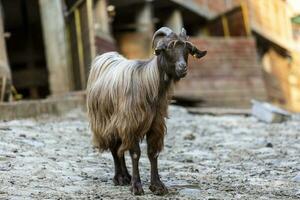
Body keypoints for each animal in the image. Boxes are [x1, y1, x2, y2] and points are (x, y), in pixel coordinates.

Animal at [86, 26, 206, 195]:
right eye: (167, 47)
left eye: (187, 49)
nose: (183, 67)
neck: (148, 84)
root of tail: (105, 56)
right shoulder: (131, 123)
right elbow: (135, 154)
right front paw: (137, 186)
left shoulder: (155, 124)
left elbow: (152, 153)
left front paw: (157, 185)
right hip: (105, 121)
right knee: (115, 148)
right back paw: (119, 178)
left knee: (120, 149)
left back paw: (125, 177)